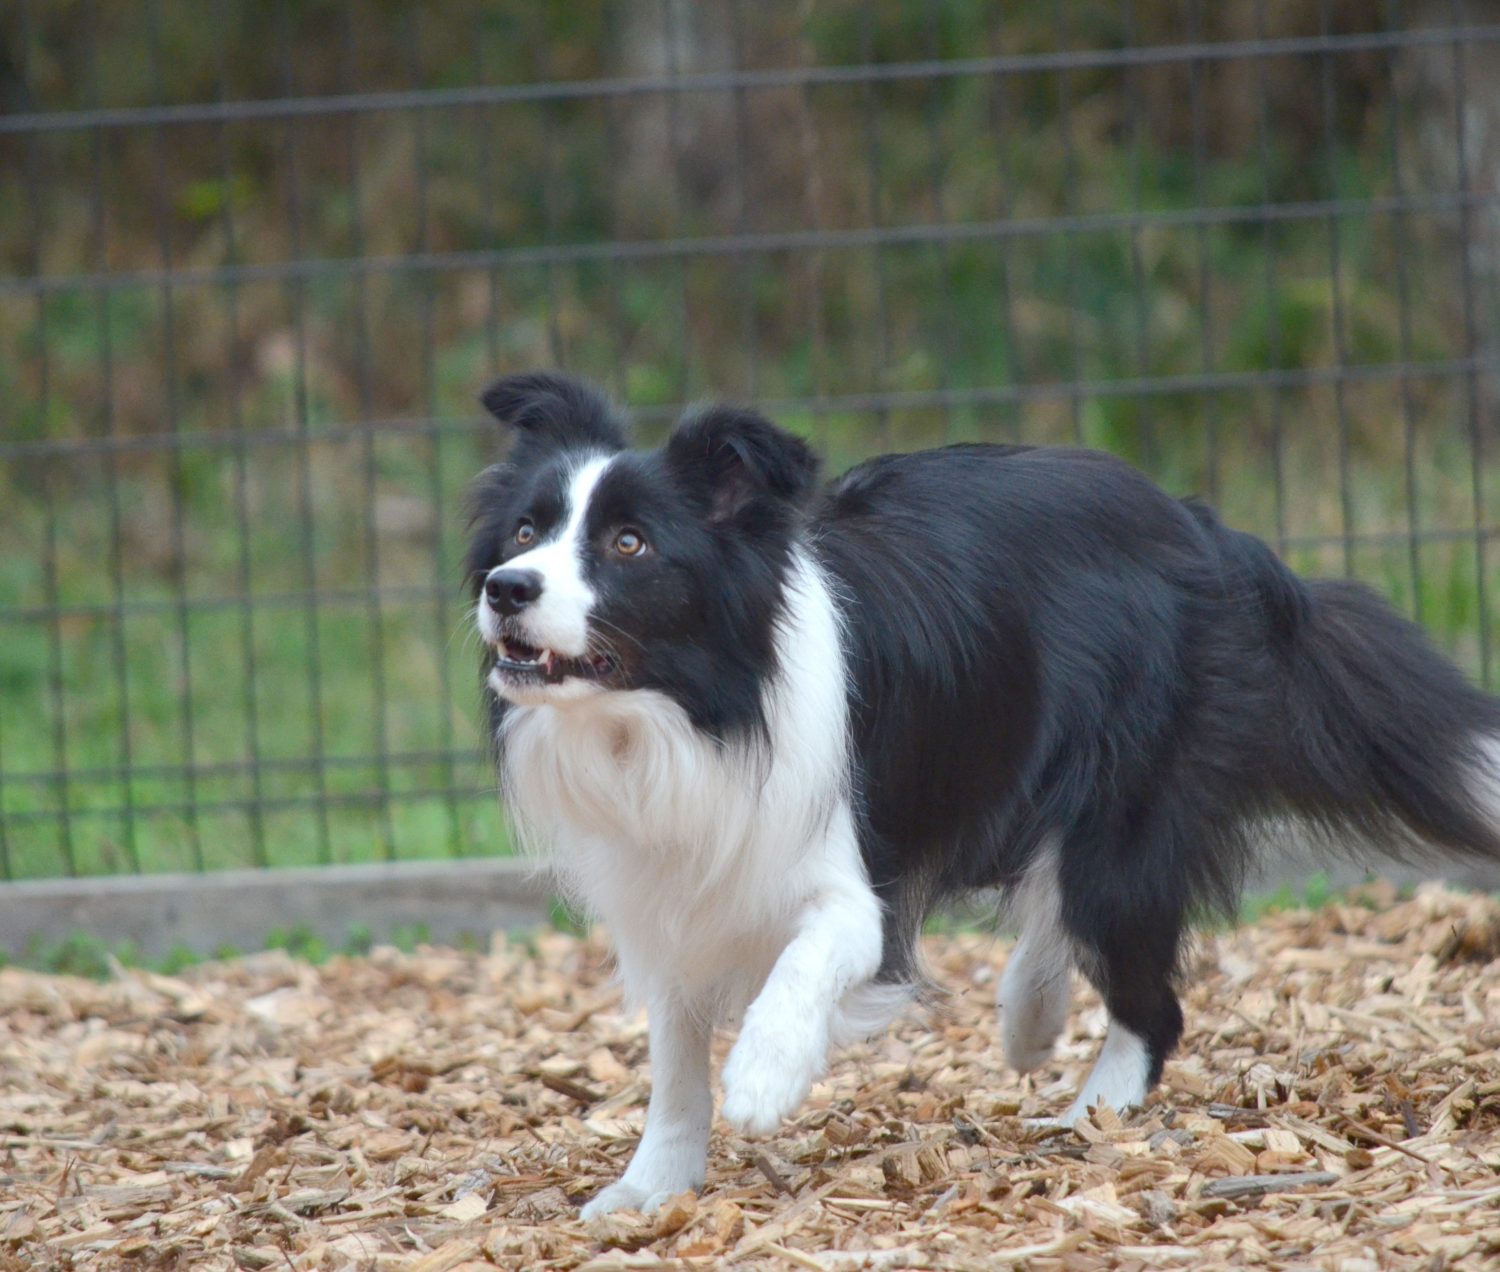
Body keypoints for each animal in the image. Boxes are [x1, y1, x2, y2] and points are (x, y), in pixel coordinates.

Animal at [462, 372, 1494, 1218]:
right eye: (526, 532)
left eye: (629, 543)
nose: (506, 588)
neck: (681, 715)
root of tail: (1209, 526)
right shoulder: (667, 892)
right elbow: (674, 1058)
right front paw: (650, 1187)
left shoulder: (850, 883)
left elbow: (805, 957)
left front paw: (764, 1074)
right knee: (1053, 901)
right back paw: (1031, 1016)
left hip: (1127, 810)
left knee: (1144, 989)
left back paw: (1089, 1112)